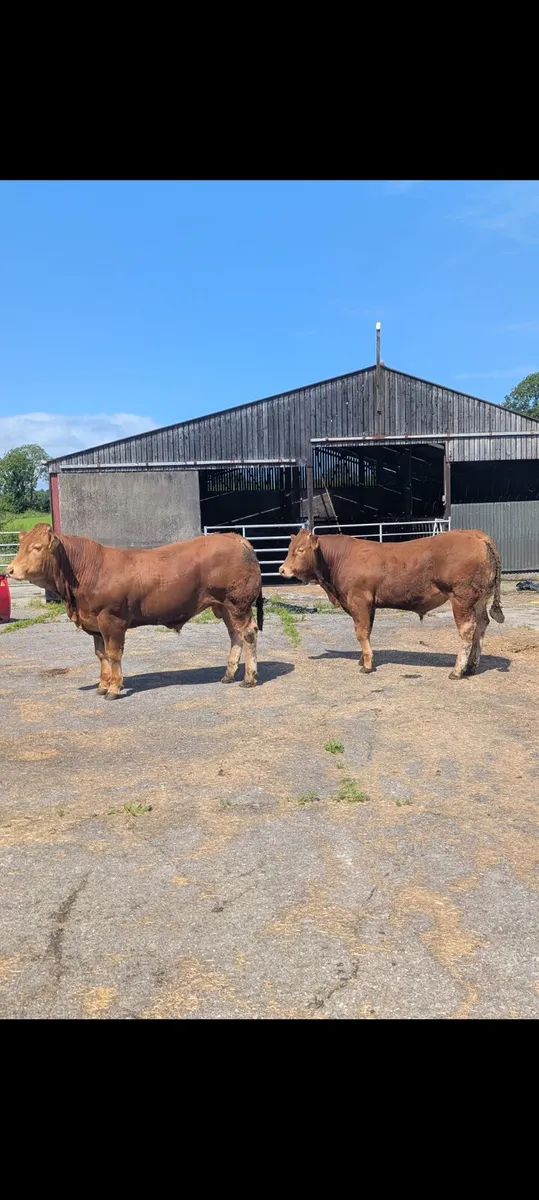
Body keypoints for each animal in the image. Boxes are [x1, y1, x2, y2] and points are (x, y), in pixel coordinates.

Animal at [6, 524, 264, 696]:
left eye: (37, 547)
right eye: (20, 546)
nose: (9, 570)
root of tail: (235, 538)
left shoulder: (111, 619)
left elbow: (113, 654)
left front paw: (114, 688)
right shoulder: (95, 624)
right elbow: (101, 655)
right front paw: (102, 686)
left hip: (238, 602)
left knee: (248, 633)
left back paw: (249, 678)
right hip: (224, 605)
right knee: (234, 635)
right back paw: (228, 675)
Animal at [279, 528, 504, 679]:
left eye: (300, 550)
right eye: (289, 548)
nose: (282, 570)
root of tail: (475, 534)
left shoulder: (359, 600)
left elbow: (361, 632)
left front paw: (367, 664)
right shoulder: (369, 604)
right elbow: (367, 631)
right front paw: (363, 658)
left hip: (461, 598)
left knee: (467, 630)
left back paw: (458, 670)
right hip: (479, 599)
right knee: (482, 625)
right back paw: (472, 666)